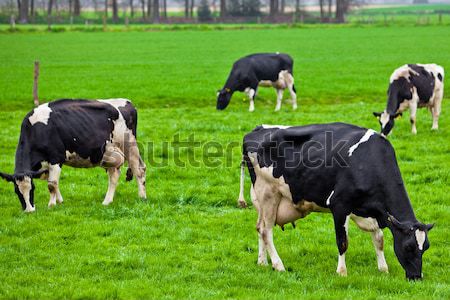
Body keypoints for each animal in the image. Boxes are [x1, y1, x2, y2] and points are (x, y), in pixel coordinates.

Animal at [0, 98, 147, 211]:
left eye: (32, 189)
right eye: (16, 191)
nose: (29, 211)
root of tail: (128, 103)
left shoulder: (56, 158)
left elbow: (51, 185)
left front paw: (51, 205)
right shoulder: (44, 165)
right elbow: (53, 182)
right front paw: (59, 201)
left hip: (129, 146)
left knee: (138, 170)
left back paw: (141, 197)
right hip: (110, 153)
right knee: (116, 174)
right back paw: (108, 201)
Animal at [237, 123, 434, 280]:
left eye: (426, 247)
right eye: (408, 247)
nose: (416, 277)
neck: (367, 161)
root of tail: (256, 130)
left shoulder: (371, 210)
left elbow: (379, 239)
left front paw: (383, 269)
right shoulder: (339, 205)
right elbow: (342, 241)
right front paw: (341, 272)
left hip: (261, 199)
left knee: (259, 227)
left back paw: (263, 262)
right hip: (267, 193)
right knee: (266, 230)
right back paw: (278, 265)